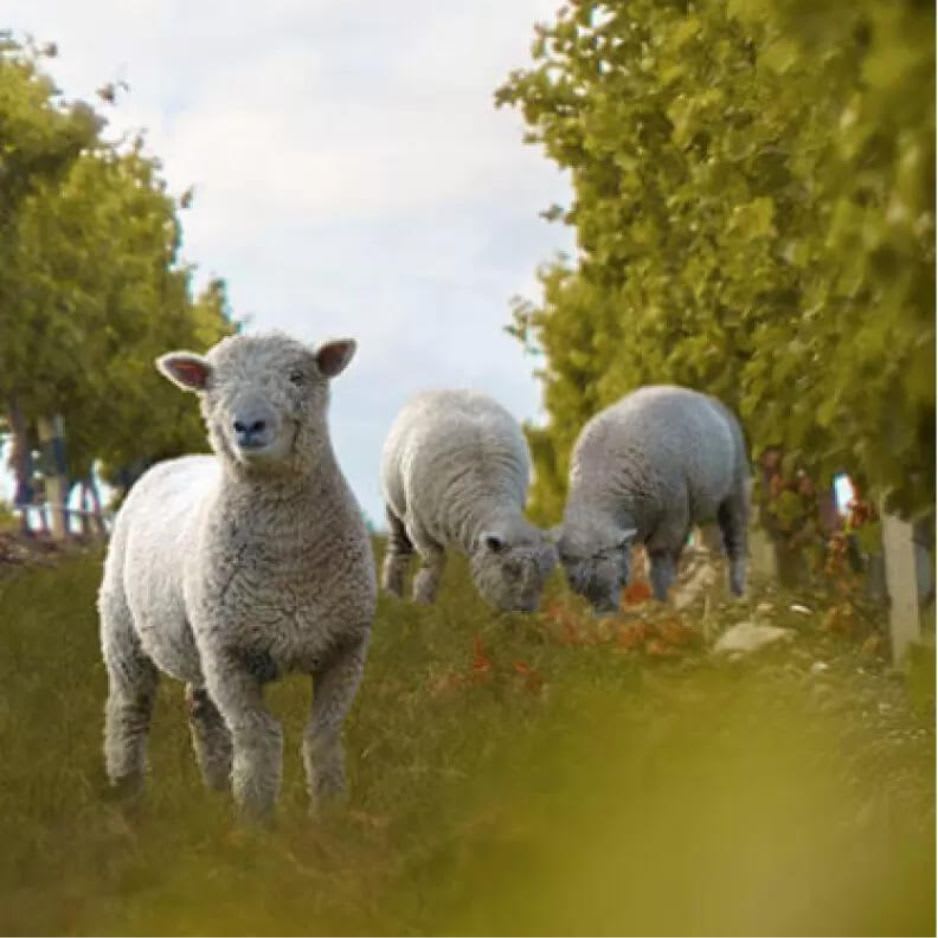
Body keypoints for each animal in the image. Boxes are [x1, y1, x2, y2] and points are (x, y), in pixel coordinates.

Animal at [95, 330, 372, 820]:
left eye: (297, 376)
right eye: (213, 384)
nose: (248, 425)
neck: (289, 561)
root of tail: (178, 459)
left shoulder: (345, 646)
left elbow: (321, 736)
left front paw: (330, 814)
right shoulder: (230, 656)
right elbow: (259, 739)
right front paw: (256, 822)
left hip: (198, 640)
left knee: (202, 713)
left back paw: (217, 790)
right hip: (124, 627)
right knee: (130, 710)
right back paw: (129, 794)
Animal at [380, 386, 556, 608]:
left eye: (545, 575)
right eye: (509, 569)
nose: (525, 610)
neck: (486, 488)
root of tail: (451, 388)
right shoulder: (418, 527)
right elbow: (434, 563)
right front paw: (423, 602)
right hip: (395, 509)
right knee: (398, 549)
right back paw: (391, 594)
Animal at [556, 384, 744, 612]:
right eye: (578, 584)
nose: (606, 611)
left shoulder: (672, 519)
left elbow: (659, 561)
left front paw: (664, 602)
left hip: (735, 486)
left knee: (736, 537)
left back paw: (736, 591)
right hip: (705, 501)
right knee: (711, 541)